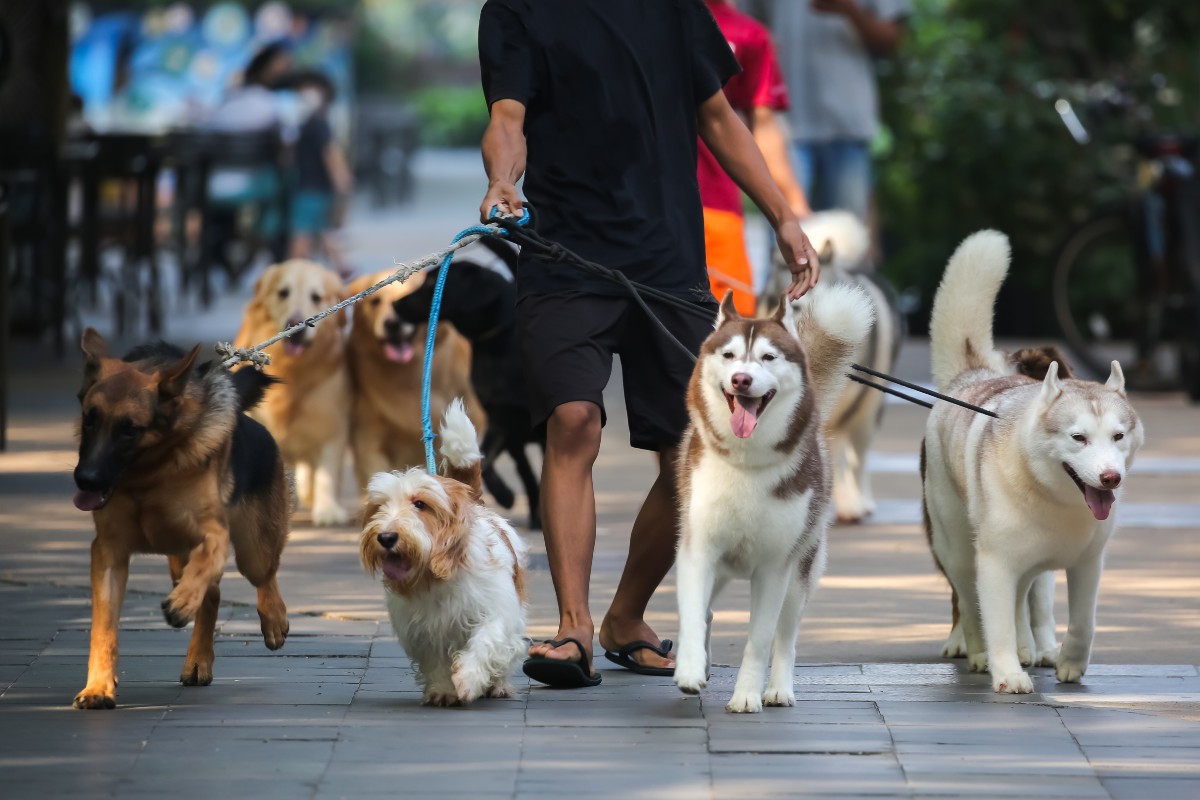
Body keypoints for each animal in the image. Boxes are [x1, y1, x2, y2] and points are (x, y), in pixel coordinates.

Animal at [393, 242, 544, 532]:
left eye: (432, 282)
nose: (395, 303)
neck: (498, 347)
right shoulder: (503, 423)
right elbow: (494, 467)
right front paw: (507, 496)